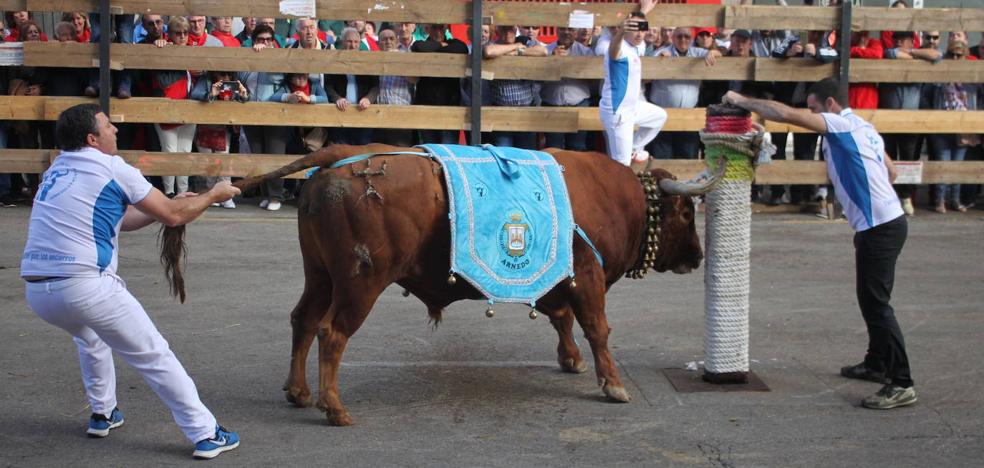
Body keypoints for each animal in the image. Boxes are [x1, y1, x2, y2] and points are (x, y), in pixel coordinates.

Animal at [177, 143, 720, 424]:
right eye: (685, 212)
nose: (697, 256)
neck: (611, 195)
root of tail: (343, 154)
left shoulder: (557, 280)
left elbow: (562, 319)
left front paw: (571, 361)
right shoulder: (586, 278)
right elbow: (597, 329)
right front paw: (613, 384)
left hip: (320, 276)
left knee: (304, 321)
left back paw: (298, 392)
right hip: (359, 284)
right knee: (332, 333)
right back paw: (335, 407)